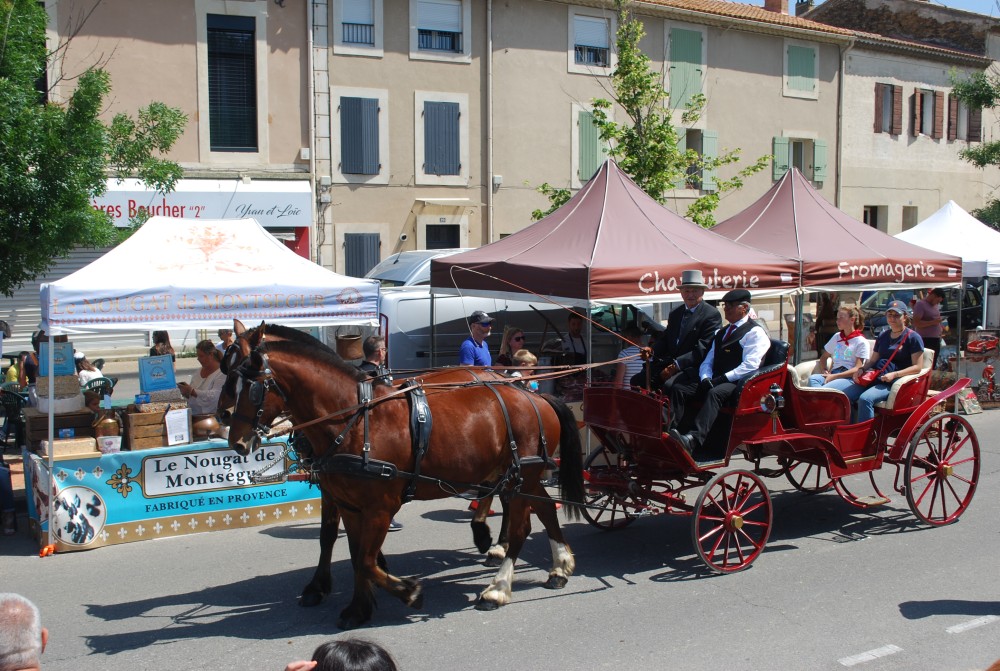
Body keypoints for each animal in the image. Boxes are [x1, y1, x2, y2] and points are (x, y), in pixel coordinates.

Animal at [215, 320, 584, 632]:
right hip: (522, 477)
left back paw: (498, 586)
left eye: (252, 387)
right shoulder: (346, 501)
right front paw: (357, 607)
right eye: (227, 372)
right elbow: (350, 550)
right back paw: (559, 566)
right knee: (545, 508)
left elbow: (364, 559)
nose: (233, 436)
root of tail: (534, 395)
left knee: (522, 526)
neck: (354, 421)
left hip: (521, 476)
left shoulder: (379, 506)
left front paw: (407, 592)